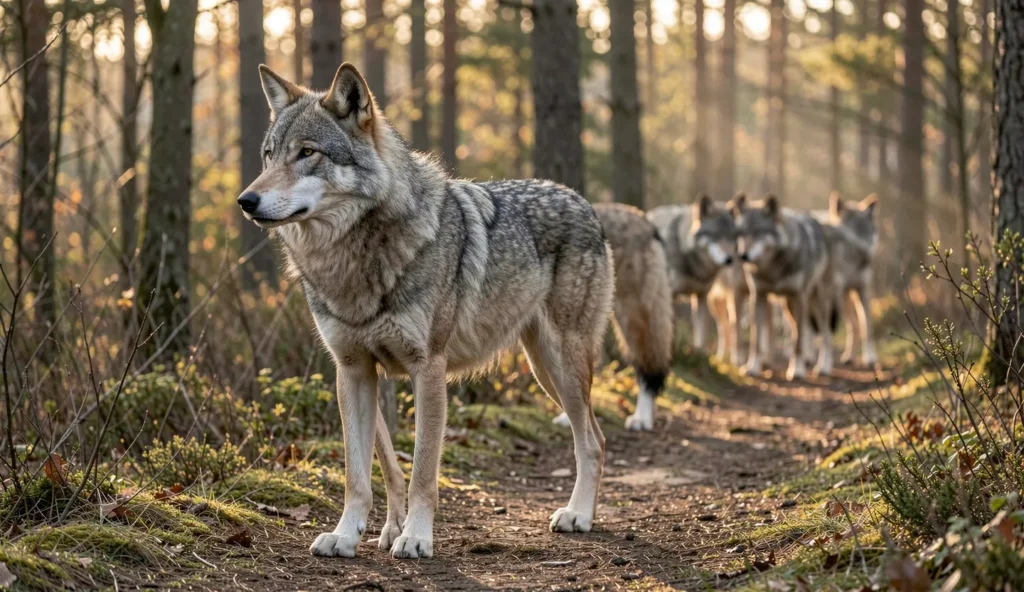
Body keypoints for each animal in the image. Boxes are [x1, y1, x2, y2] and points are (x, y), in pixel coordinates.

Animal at [238, 63, 614, 559]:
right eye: (268, 155)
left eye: (307, 153)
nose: (246, 201)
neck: (354, 260)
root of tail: (582, 200)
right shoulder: (353, 371)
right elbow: (363, 473)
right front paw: (348, 534)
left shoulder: (428, 369)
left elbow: (422, 472)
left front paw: (415, 536)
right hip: (543, 370)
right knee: (593, 435)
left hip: (562, 369)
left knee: (592, 440)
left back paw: (579, 515)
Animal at [648, 196, 739, 360]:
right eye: (716, 235)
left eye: (733, 237)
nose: (730, 259)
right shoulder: (672, 295)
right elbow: (672, 329)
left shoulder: (701, 296)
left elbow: (701, 334)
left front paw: (699, 354)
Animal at [733, 195, 834, 380]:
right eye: (741, 233)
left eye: (758, 232)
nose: (743, 256)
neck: (773, 268)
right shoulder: (759, 296)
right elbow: (756, 340)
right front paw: (753, 367)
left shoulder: (799, 297)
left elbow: (798, 343)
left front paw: (797, 370)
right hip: (788, 307)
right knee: (797, 329)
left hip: (817, 303)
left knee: (825, 334)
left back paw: (824, 367)